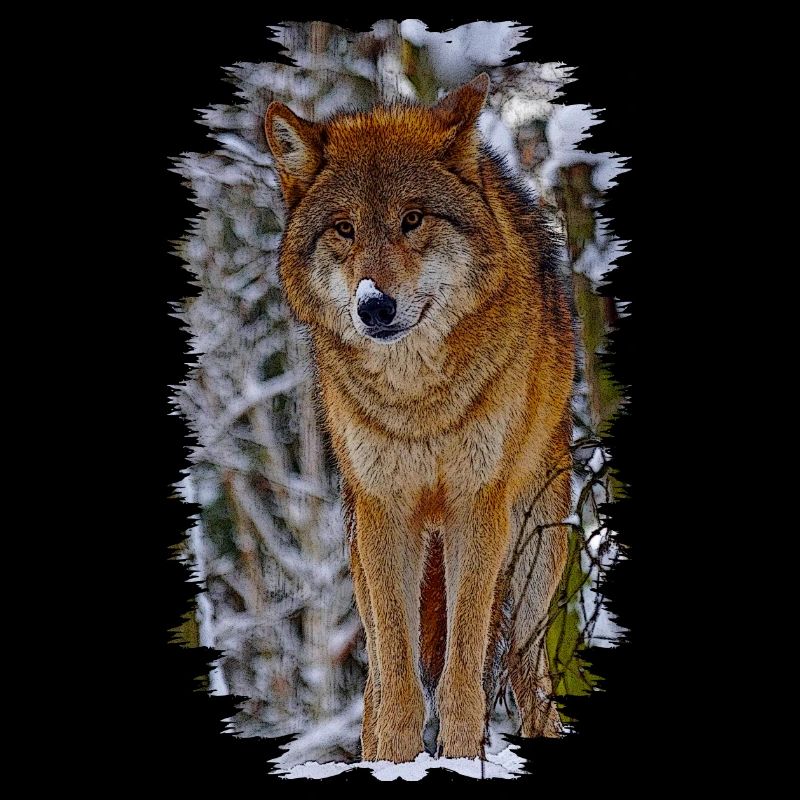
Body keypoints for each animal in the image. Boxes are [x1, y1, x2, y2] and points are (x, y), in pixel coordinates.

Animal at [265, 73, 575, 762]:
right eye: (345, 228)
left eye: (413, 220)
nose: (374, 306)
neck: (417, 400)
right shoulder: (386, 511)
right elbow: (401, 681)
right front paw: (396, 762)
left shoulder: (475, 506)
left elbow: (461, 671)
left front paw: (459, 755)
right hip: (363, 555)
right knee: (378, 679)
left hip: (535, 563)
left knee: (527, 677)